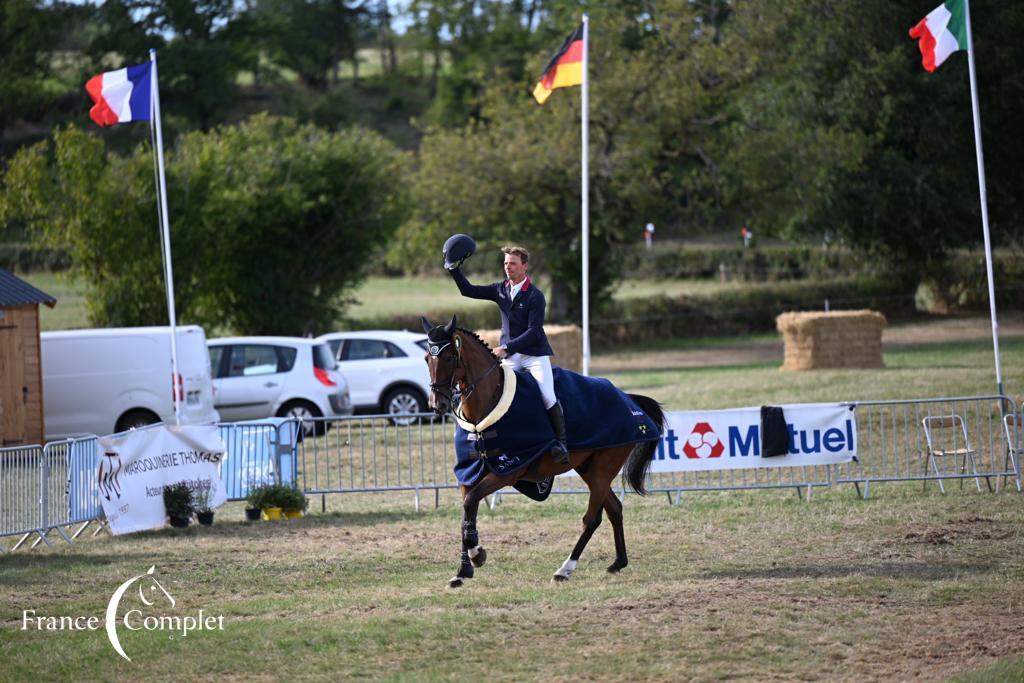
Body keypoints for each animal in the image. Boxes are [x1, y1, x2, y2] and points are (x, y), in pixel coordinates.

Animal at [421, 315, 667, 589]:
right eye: (427, 358)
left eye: (449, 357)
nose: (437, 404)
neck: (483, 410)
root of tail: (628, 399)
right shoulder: (468, 475)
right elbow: (466, 516)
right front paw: (463, 570)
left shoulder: (507, 472)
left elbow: (470, 503)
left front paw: (476, 555)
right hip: (589, 469)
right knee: (614, 508)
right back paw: (618, 563)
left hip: (603, 469)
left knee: (592, 518)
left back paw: (565, 569)